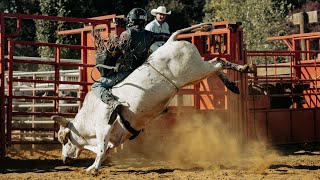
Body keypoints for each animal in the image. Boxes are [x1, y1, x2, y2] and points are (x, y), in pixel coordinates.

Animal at [52, 22, 252, 173]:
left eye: (64, 139)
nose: (63, 159)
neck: (89, 116)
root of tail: (171, 41)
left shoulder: (103, 126)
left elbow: (100, 150)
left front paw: (92, 169)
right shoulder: (115, 137)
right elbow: (105, 151)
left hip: (195, 70)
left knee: (218, 62)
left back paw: (242, 70)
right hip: (197, 72)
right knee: (216, 64)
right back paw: (233, 84)